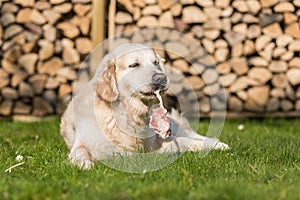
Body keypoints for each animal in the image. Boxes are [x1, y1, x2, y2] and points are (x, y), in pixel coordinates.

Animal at [60, 43, 230, 169]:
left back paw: (219, 144)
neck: (126, 114)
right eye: (134, 65)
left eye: (155, 63)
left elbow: (184, 141)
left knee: (194, 135)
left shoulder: (158, 143)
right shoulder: (85, 142)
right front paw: (84, 165)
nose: (161, 78)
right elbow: (79, 153)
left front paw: (213, 145)